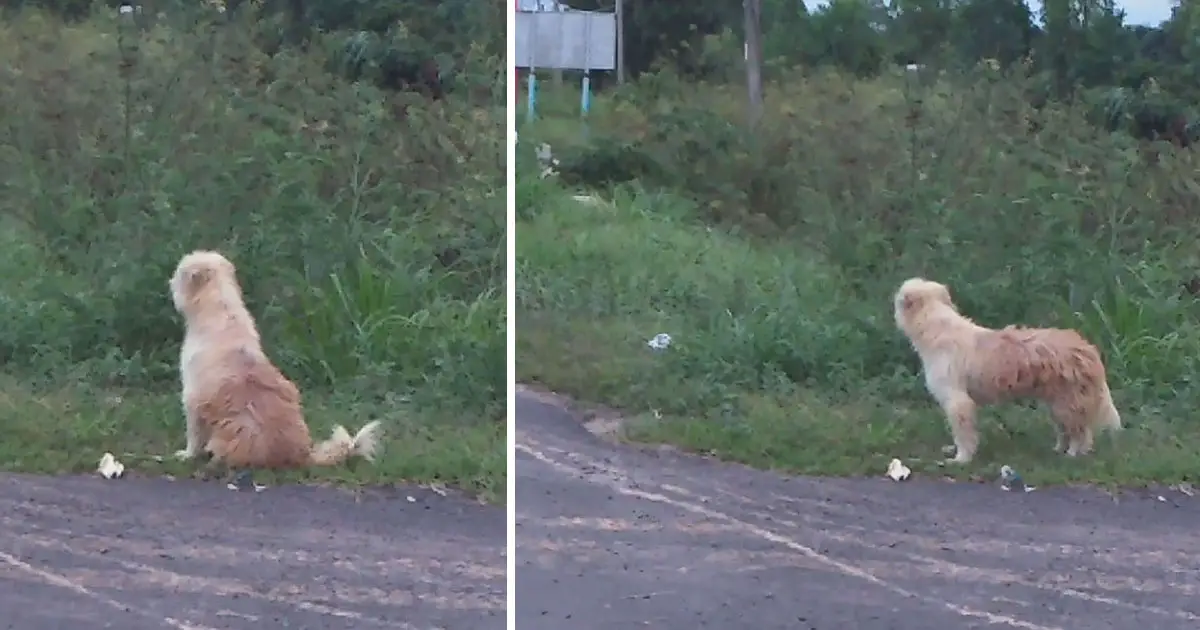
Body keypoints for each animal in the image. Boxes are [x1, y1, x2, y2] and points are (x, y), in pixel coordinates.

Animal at [169, 248, 381, 484]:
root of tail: (303, 455)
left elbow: (194, 435)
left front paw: (186, 455)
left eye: (179, 272)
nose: (170, 281)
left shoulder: (192, 398)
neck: (221, 309)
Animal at [892, 277, 1123, 463]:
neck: (937, 326)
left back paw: (1072, 454)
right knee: (1072, 430)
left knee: (1081, 432)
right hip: (1058, 403)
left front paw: (962, 459)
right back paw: (1059, 449)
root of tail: (1088, 348)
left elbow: (963, 433)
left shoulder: (958, 401)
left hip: (1068, 403)